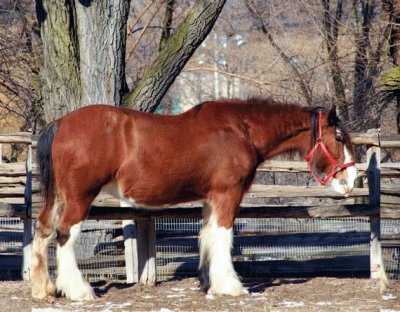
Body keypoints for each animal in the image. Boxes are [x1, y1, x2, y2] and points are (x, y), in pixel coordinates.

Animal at [31, 98, 356, 302]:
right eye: (339, 138)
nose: (351, 181)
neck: (241, 131)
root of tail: (61, 123)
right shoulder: (228, 194)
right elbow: (223, 236)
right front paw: (231, 286)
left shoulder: (211, 198)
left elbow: (208, 236)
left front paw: (209, 283)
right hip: (79, 197)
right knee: (65, 235)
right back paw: (78, 290)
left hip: (58, 197)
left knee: (43, 231)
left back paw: (43, 289)